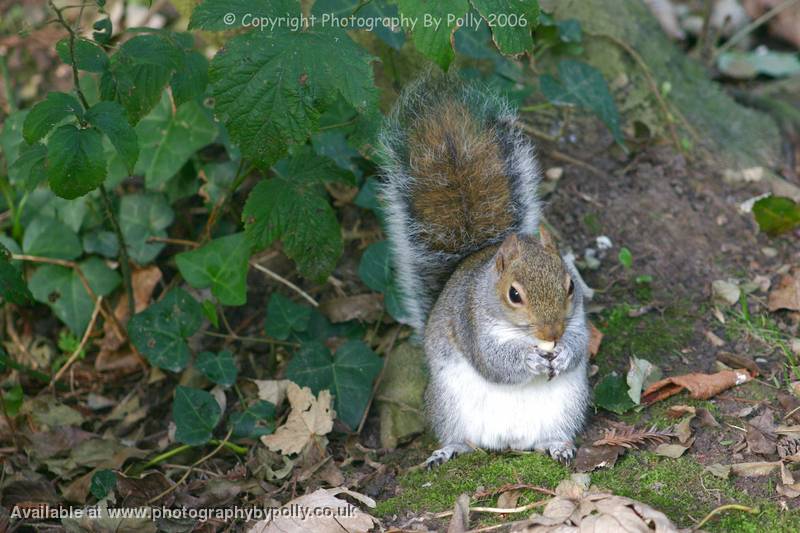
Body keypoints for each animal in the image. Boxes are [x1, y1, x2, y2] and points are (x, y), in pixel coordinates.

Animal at [378, 75, 592, 466]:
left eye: (571, 286)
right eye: (514, 295)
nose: (552, 333)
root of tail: (508, 441)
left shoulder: (579, 319)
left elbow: (581, 343)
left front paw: (566, 353)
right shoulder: (471, 323)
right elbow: (493, 362)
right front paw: (528, 359)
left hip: (566, 406)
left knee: (547, 437)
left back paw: (558, 445)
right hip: (448, 405)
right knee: (460, 438)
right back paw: (448, 450)